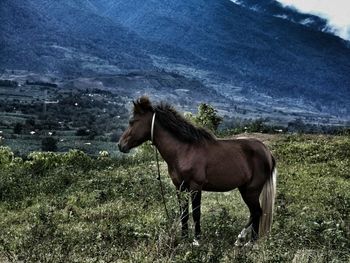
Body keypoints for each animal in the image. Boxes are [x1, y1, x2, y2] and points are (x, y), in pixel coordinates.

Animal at [117, 97, 276, 248]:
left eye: (132, 122)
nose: (120, 145)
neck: (184, 150)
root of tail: (266, 152)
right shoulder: (180, 187)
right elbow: (184, 214)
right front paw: (183, 238)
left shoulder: (195, 187)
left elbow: (196, 213)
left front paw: (196, 240)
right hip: (244, 189)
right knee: (254, 213)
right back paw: (244, 240)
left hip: (252, 190)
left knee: (257, 212)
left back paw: (247, 241)